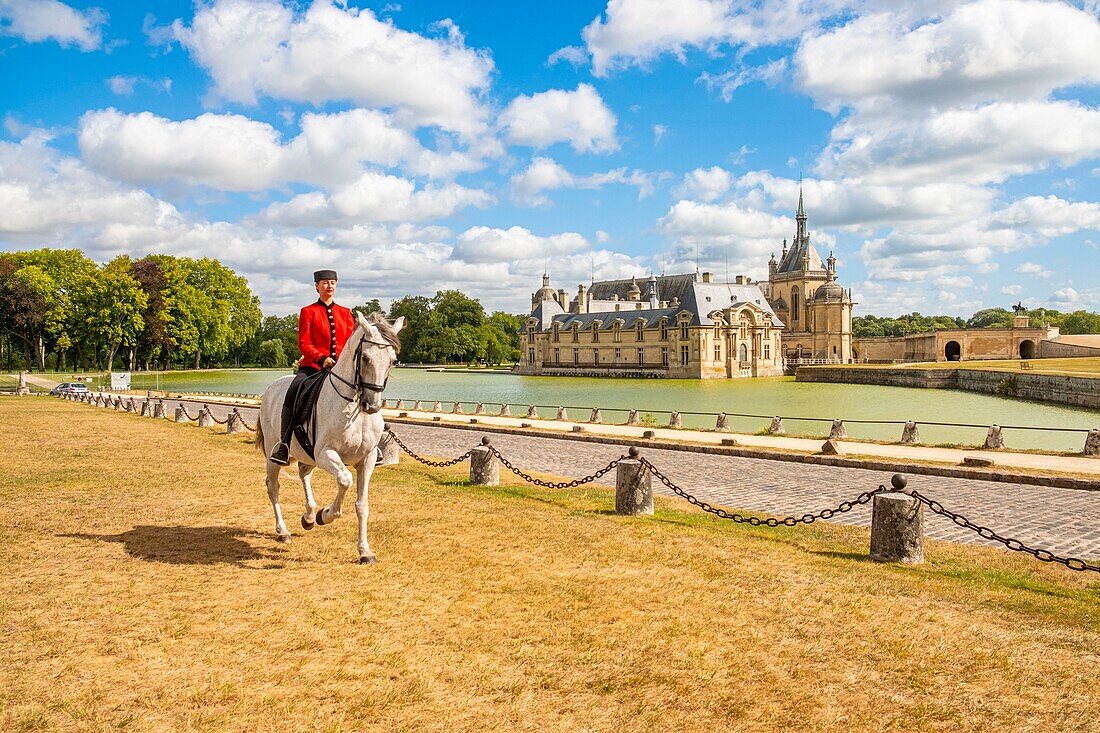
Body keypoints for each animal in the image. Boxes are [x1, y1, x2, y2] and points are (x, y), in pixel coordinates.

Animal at [254, 310, 404, 561]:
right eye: (365, 358)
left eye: (392, 360)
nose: (372, 405)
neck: (354, 409)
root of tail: (272, 387)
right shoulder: (326, 454)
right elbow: (345, 480)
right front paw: (327, 514)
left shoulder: (367, 459)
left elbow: (362, 505)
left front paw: (364, 551)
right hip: (276, 455)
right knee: (273, 487)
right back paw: (283, 531)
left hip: (307, 455)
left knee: (304, 473)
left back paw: (308, 516)